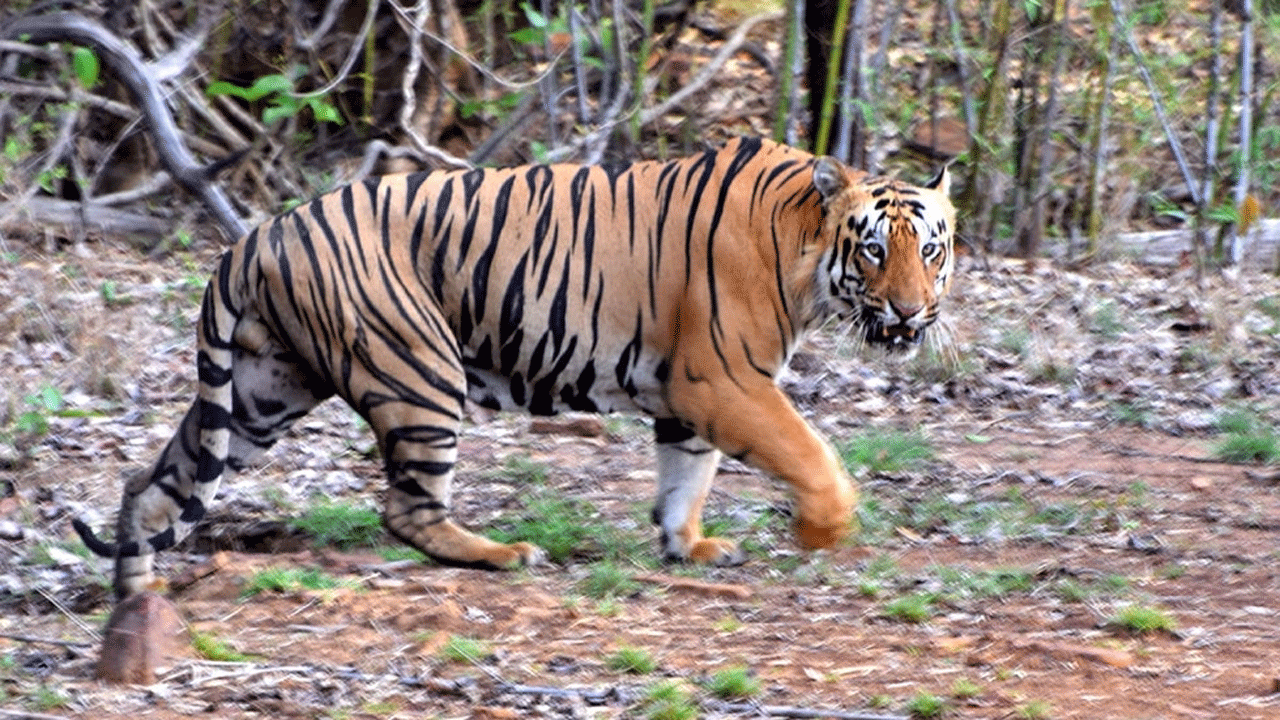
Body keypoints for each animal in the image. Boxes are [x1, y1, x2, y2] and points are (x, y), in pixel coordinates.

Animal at [73, 136, 956, 600]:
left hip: (262, 390)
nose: (911, 313)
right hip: (420, 370)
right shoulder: (725, 379)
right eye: (872, 251)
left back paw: (135, 587)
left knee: (154, 483)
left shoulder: (687, 392)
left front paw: (687, 546)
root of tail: (257, 236)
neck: (805, 251)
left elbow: (686, 476)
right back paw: (502, 554)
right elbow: (810, 455)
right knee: (407, 509)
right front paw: (821, 530)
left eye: (931, 250)